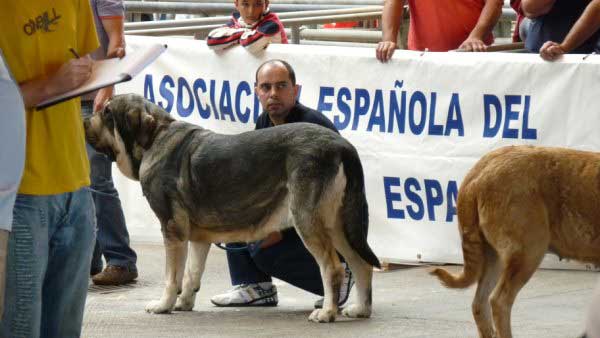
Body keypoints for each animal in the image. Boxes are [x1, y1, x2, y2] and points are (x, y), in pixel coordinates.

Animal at [84, 93, 380, 324]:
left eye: (107, 111)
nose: (84, 121)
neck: (155, 137)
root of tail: (342, 145)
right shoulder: (198, 237)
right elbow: (191, 274)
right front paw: (184, 303)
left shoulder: (172, 229)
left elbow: (172, 277)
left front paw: (164, 305)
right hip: (338, 224)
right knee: (361, 264)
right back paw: (360, 309)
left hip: (308, 221)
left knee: (333, 267)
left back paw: (327, 312)